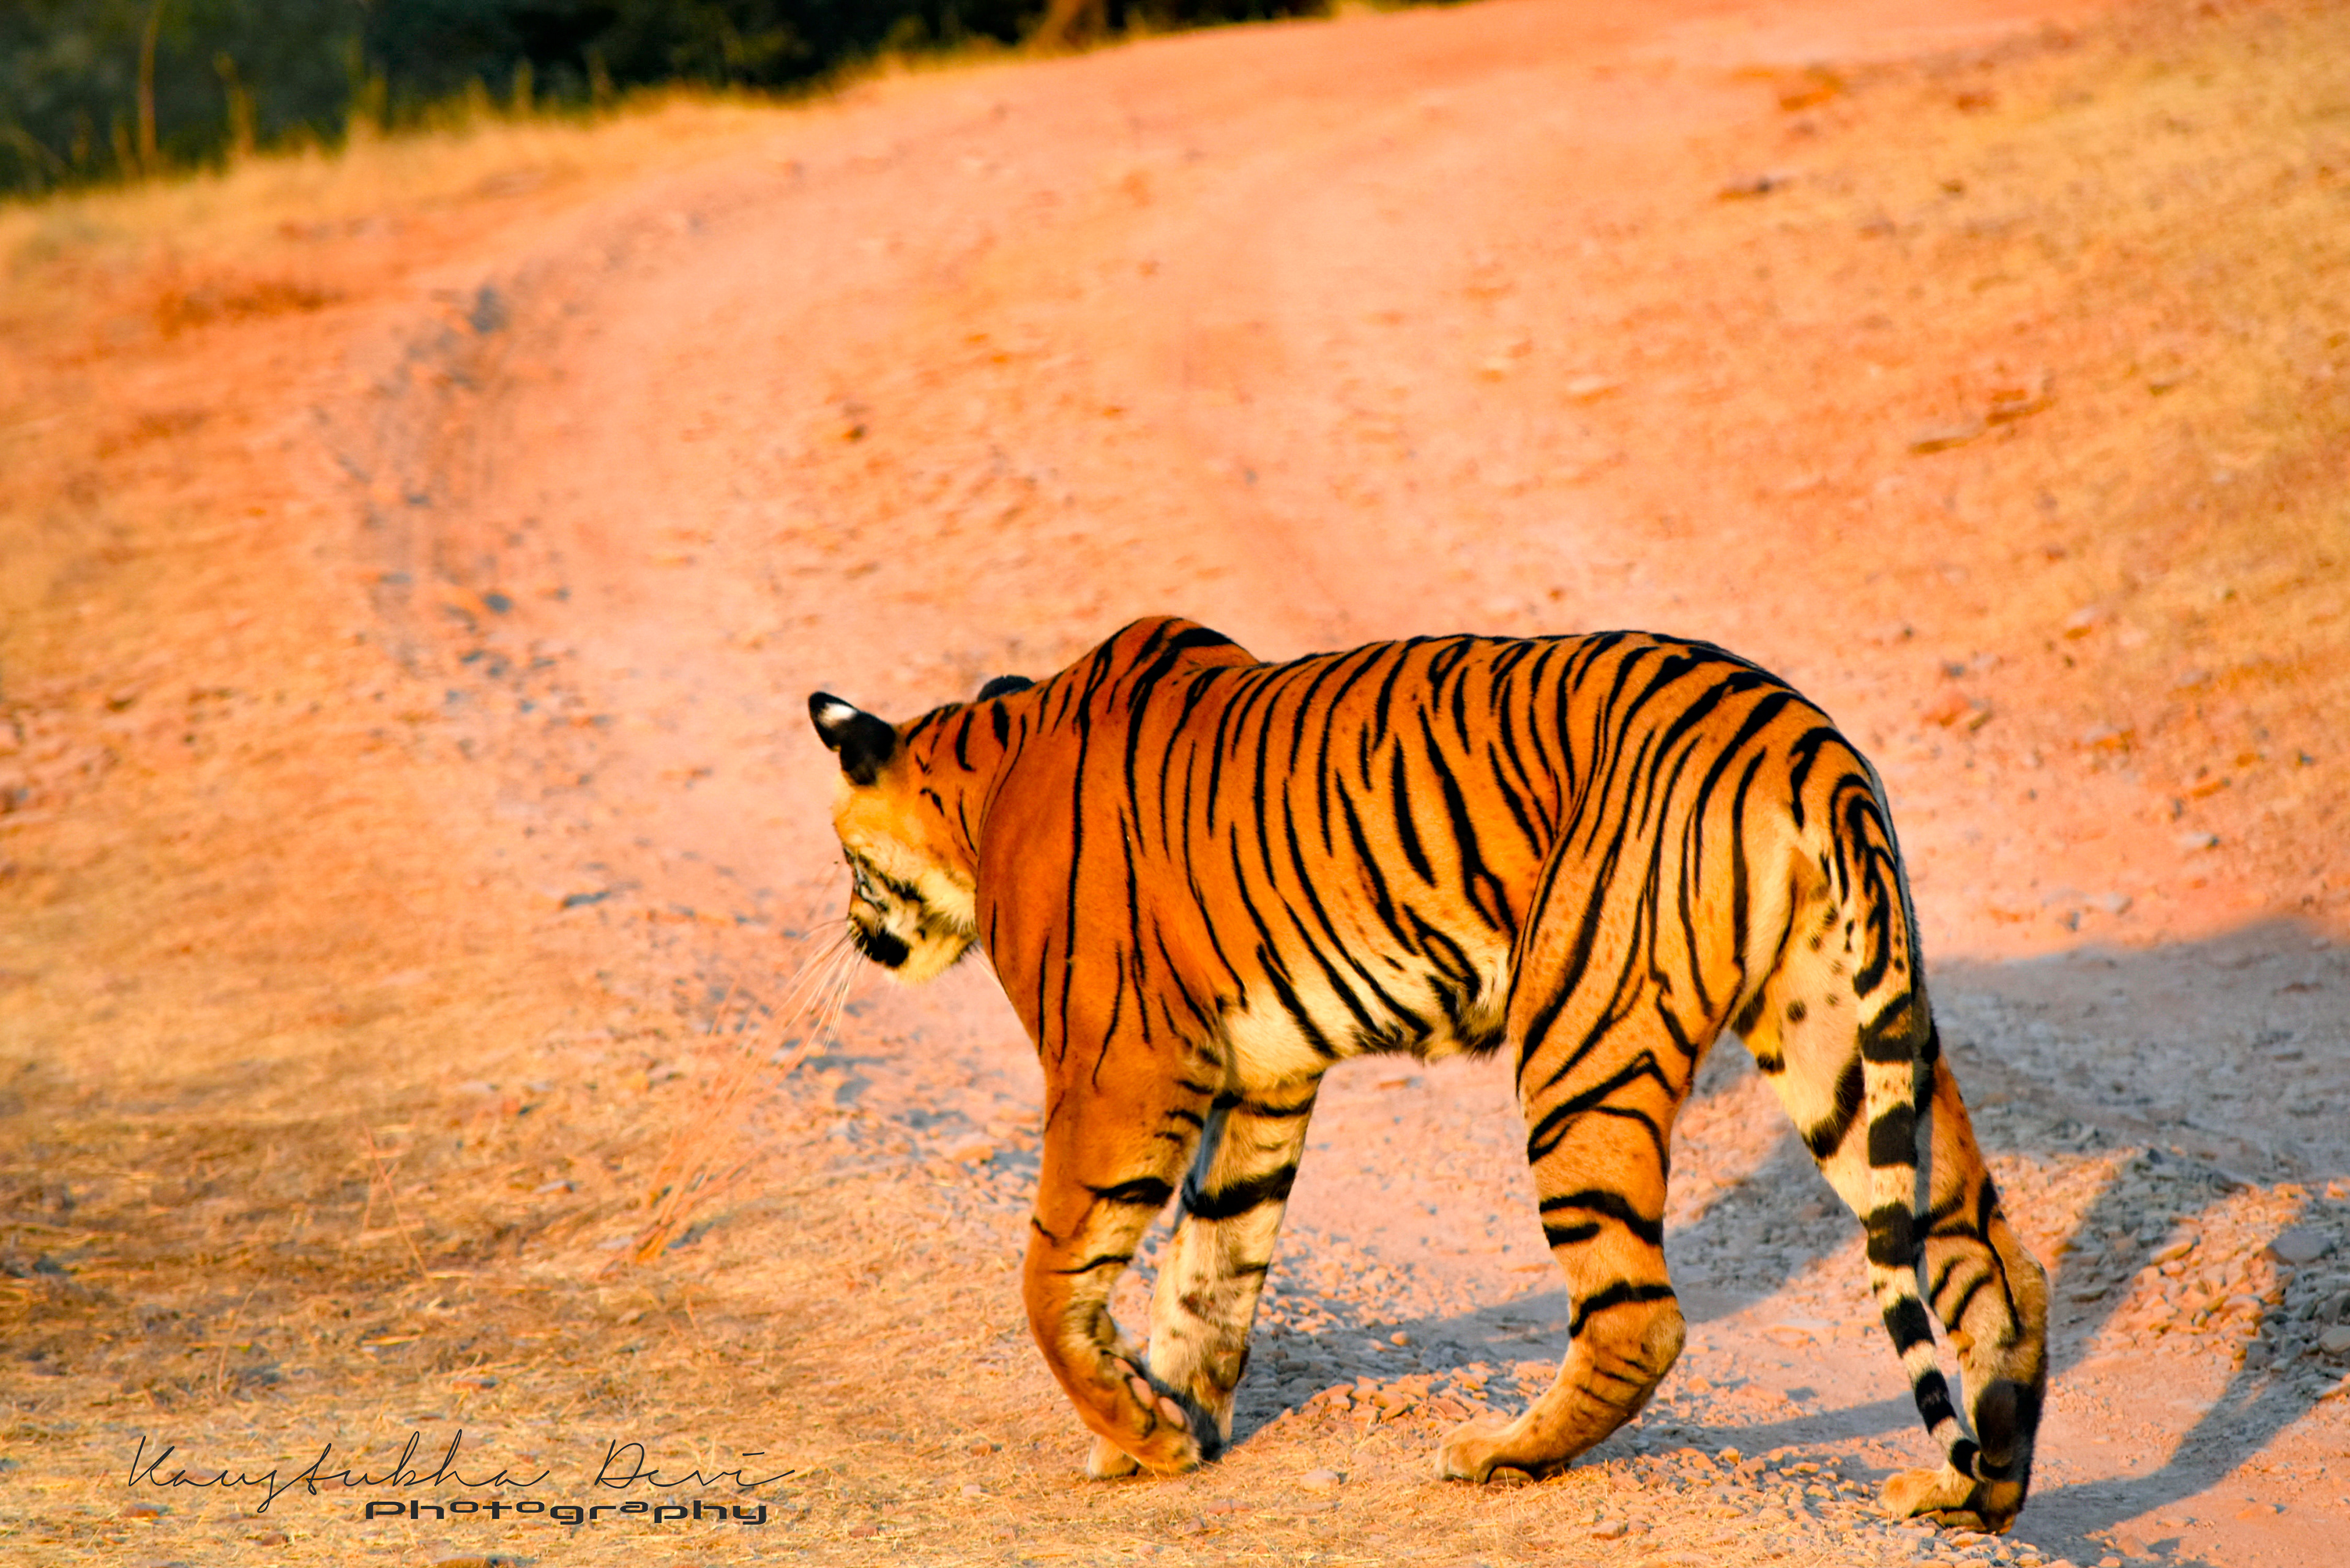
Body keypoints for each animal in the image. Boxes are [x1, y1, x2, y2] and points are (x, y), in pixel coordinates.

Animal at [807, 614, 2048, 1531]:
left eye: (844, 859)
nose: (857, 934)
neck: (989, 775)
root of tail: (1804, 739)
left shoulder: (1120, 1067)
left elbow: (1051, 1276)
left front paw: (1138, 1431)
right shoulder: (1264, 1078)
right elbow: (1211, 1264)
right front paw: (1172, 1425)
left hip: (1583, 1048)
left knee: (1639, 1315)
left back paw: (1501, 1454)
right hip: (1839, 1034)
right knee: (1993, 1257)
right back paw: (1974, 1488)